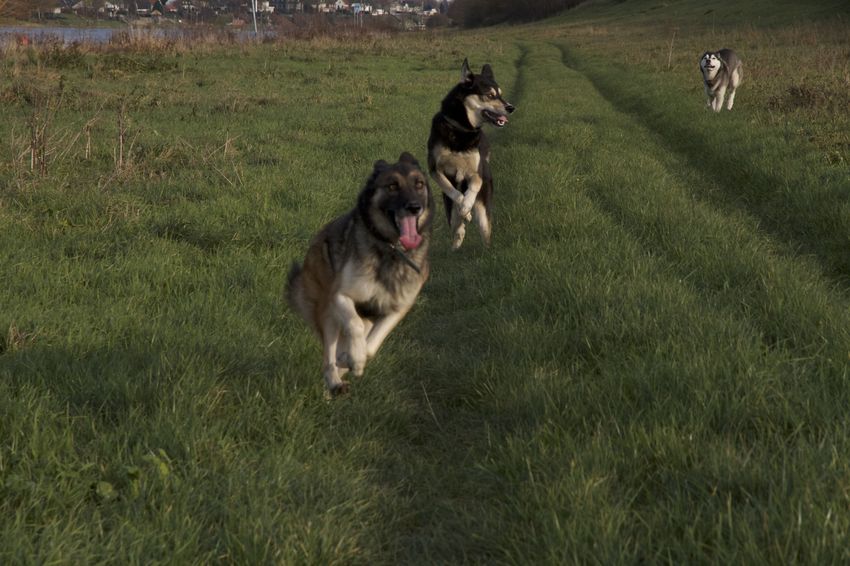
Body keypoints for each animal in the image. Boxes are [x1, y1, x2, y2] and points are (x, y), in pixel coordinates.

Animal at [286, 152, 433, 395]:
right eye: (392, 186)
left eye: (419, 184)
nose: (414, 207)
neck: (390, 250)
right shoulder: (340, 296)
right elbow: (353, 326)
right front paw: (354, 359)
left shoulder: (396, 308)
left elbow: (371, 346)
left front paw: (354, 358)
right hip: (326, 308)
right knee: (329, 354)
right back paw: (335, 382)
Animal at [427, 58, 515, 250]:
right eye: (490, 95)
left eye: (500, 94)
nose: (511, 107)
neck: (462, 130)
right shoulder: (435, 170)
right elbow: (453, 192)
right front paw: (464, 209)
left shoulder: (476, 173)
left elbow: (473, 187)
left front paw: (467, 205)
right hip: (450, 213)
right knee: (457, 228)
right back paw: (457, 240)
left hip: (484, 213)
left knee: (485, 231)